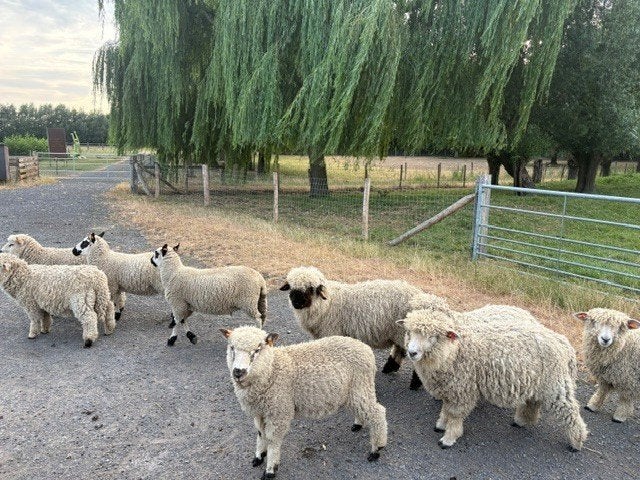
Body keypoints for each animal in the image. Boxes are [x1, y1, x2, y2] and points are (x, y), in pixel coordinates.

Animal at [220, 326, 387, 479]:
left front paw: (270, 470)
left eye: (257, 350)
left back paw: (376, 448)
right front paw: (259, 456)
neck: (271, 369)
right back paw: (358, 424)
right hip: (353, 391)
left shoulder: (279, 411)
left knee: (377, 412)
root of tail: (364, 347)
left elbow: (273, 440)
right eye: (232, 348)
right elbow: (261, 434)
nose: (238, 371)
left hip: (361, 384)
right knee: (362, 409)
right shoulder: (260, 411)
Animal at [279, 266, 448, 389]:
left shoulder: (332, 331)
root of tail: (425, 300)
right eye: (291, 288)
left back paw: (415, 383)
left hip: (404, 332)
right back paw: (390, 366)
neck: (327, 303)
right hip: (399, 331)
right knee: (399, 348)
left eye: (311, 289)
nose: (296, 303)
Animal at [398, 305, 588, 451]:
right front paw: (441, 424)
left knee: (570, 412)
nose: (412, 352)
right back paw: (522, 420)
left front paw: (449, 438)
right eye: (409, 332)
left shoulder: (463, 389)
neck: (454, 351)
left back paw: (576, 442)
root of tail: (564, 343)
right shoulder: (451, 388)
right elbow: (446, 409)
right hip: (537, 382)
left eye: (432, 336)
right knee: (533, 401)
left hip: (556, 384)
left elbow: (455, 415)